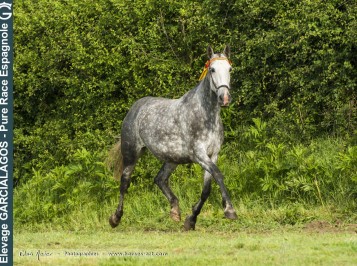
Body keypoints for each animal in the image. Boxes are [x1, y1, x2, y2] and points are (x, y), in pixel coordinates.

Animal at [108, 46, 236, 231]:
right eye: (212, 69)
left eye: (230, 69)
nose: (224, 98)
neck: (205, 115)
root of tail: (135, 108)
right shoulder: (199, 155)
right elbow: (218, 175)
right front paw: (230, 210)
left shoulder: (213, 155)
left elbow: (206, 189)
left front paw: (191, 220)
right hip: (131, 153)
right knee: (124, 183)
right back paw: (115, 218)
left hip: (172, 159)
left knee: (160, 179)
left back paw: (175, 211)